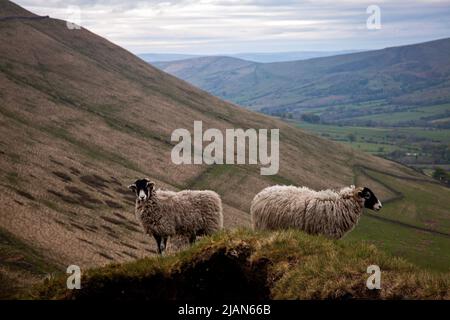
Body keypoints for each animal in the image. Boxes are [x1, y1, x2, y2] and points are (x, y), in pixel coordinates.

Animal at [251, 184, 382, 239]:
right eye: (368, 195)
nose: (380, 206)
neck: (341, 205)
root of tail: (258, 196)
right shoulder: (327, 234)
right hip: (264, 225)